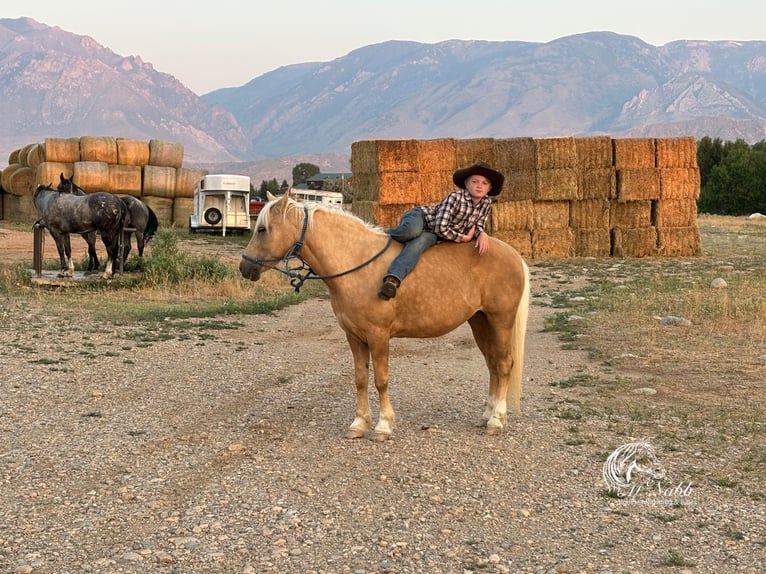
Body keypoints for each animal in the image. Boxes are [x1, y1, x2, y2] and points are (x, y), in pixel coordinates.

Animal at [240, 192, 528, 440]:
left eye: (263, 229)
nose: (244, 267)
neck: (356, 262)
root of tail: (515, 255)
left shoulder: (378, 335)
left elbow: (381, 380)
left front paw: (383, 425)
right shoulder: (354, 336)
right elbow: (360, 379)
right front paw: (359, 424)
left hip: (500, 320)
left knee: (504, 365)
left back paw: (497, 420)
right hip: (480, 321)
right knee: (492, 365)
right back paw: (487, 414)